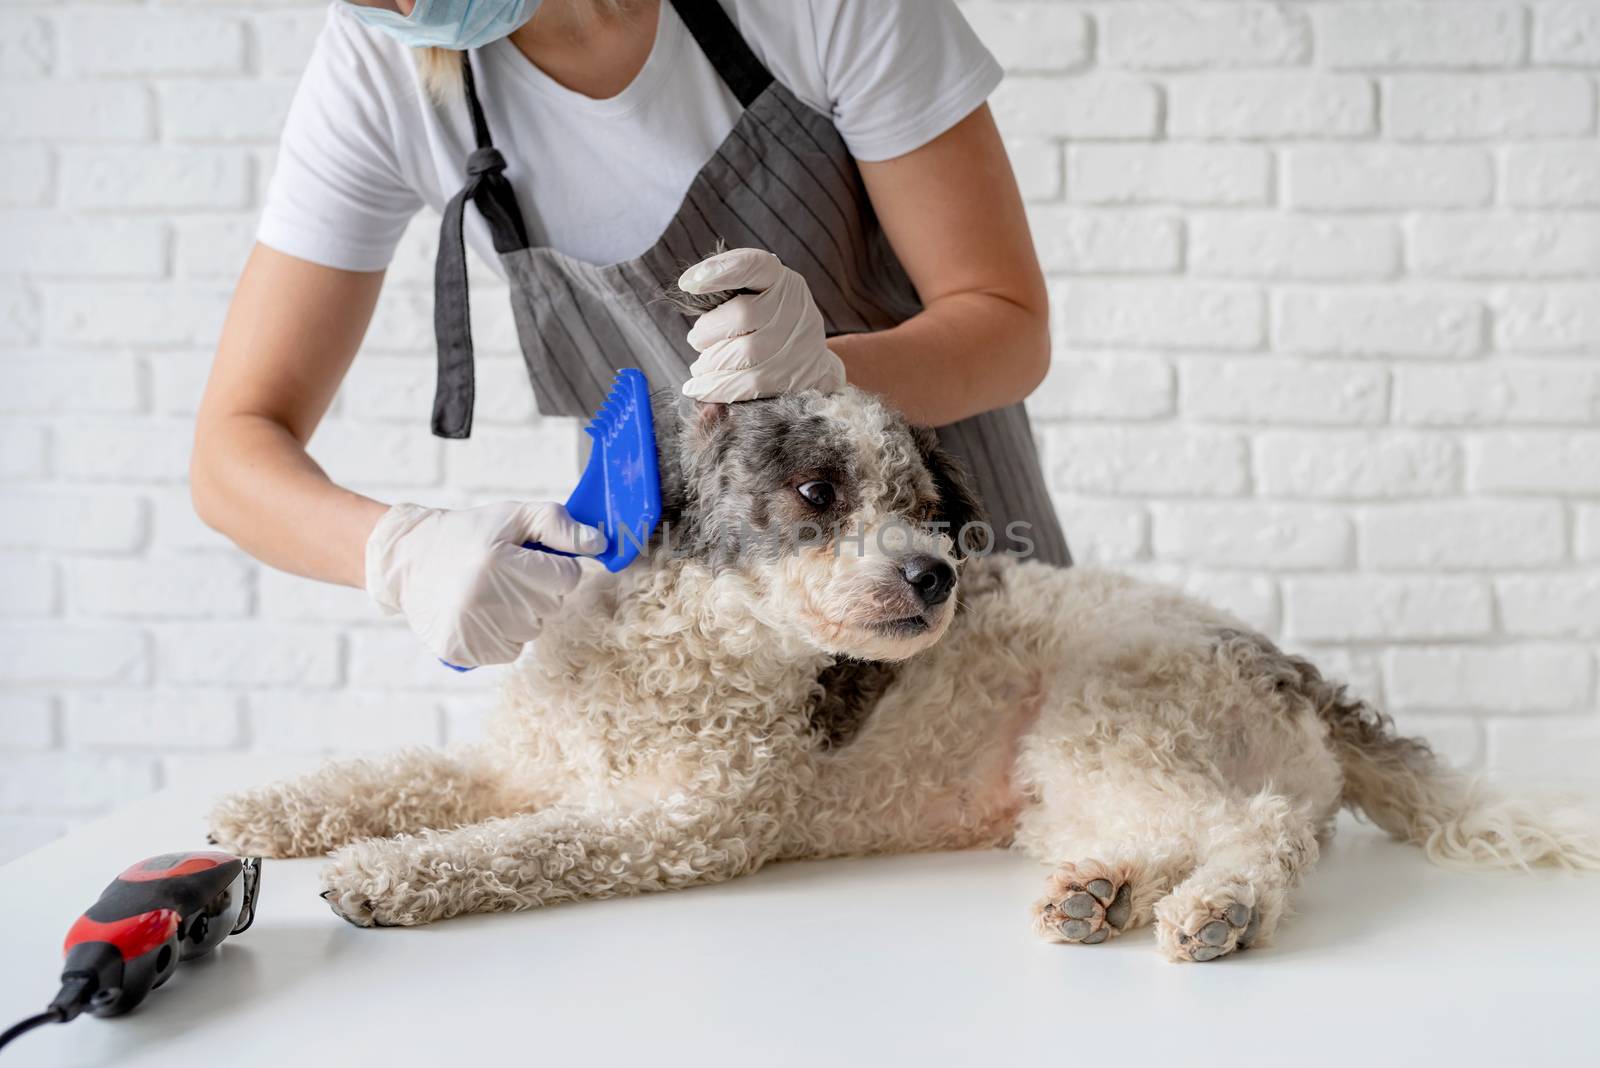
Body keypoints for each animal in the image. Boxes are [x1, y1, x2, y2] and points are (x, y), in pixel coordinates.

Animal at [216, 385, 1600, 959]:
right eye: (819, 492)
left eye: (929, 508)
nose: (936, 576)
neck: (682, 646)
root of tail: (1287, 668)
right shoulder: (520, 765)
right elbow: (401, 775)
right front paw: (268, 811)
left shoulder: (678, 828)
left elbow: (515, 850)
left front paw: (386, 877)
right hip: (1070, 782)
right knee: (1168, 834)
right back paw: (1098, 895)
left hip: (1110, 720)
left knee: (1257, 830)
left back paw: (1221, 911)